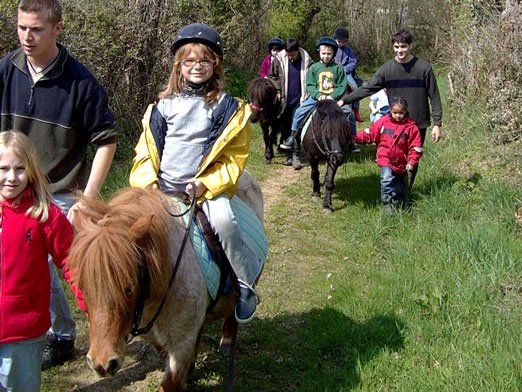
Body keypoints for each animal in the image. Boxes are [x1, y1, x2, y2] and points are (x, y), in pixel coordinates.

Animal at [68, 172, 264, 392]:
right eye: (82, 288)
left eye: (128, 288)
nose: (102, 364)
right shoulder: (158, 337)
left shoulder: (180, 343)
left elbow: (170, 383)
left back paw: (229, 339)